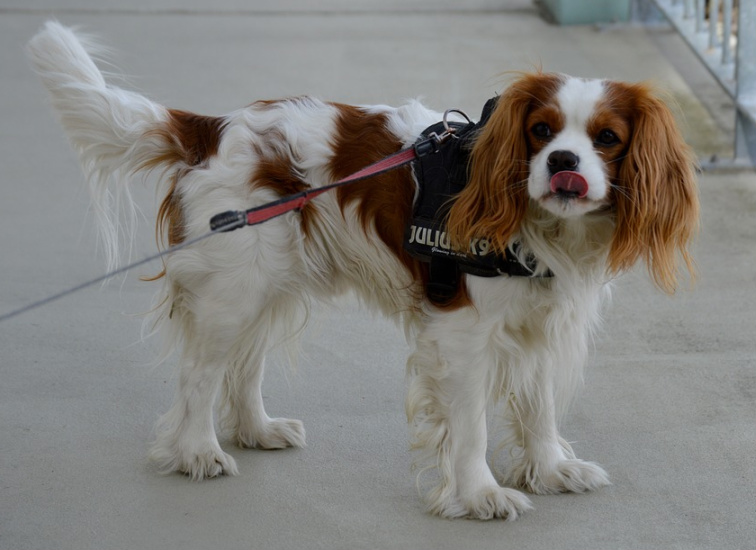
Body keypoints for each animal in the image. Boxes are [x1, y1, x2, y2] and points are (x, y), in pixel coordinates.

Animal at [26, 22, 700, 520]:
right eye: (540, 131)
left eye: (606, 138)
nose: (562, 161)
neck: (543, 229)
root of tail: (213, 128)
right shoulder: (463, 334)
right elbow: (472, 426)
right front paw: (479, 494)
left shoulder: (541, 323)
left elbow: (540, 409)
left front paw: (552, 470)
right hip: (236, 289)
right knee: (200, 373)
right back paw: (197, 453)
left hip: (269, 284)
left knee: (244, 365)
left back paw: (255, 429)